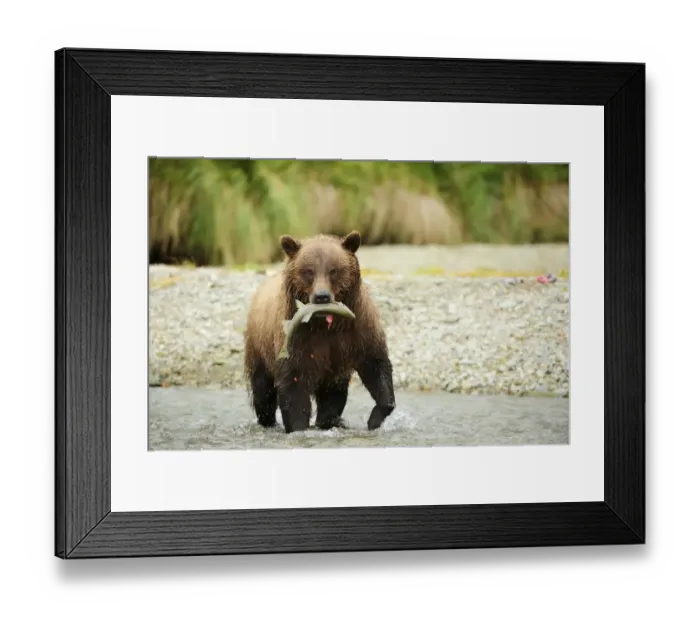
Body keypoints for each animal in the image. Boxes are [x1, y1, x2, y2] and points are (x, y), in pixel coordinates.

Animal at [243, 230, 396, 434]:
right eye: (308, 270)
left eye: (334, 270)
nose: (322, 296)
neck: (324, 323)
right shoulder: (297, 337)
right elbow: (294, 384)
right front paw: (298, 425)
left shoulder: (359, 330)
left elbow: (376, 366)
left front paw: (374, 419)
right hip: (260, 345)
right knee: (262, 390)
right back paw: (268, 421)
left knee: (333, 394)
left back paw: (329, 421)